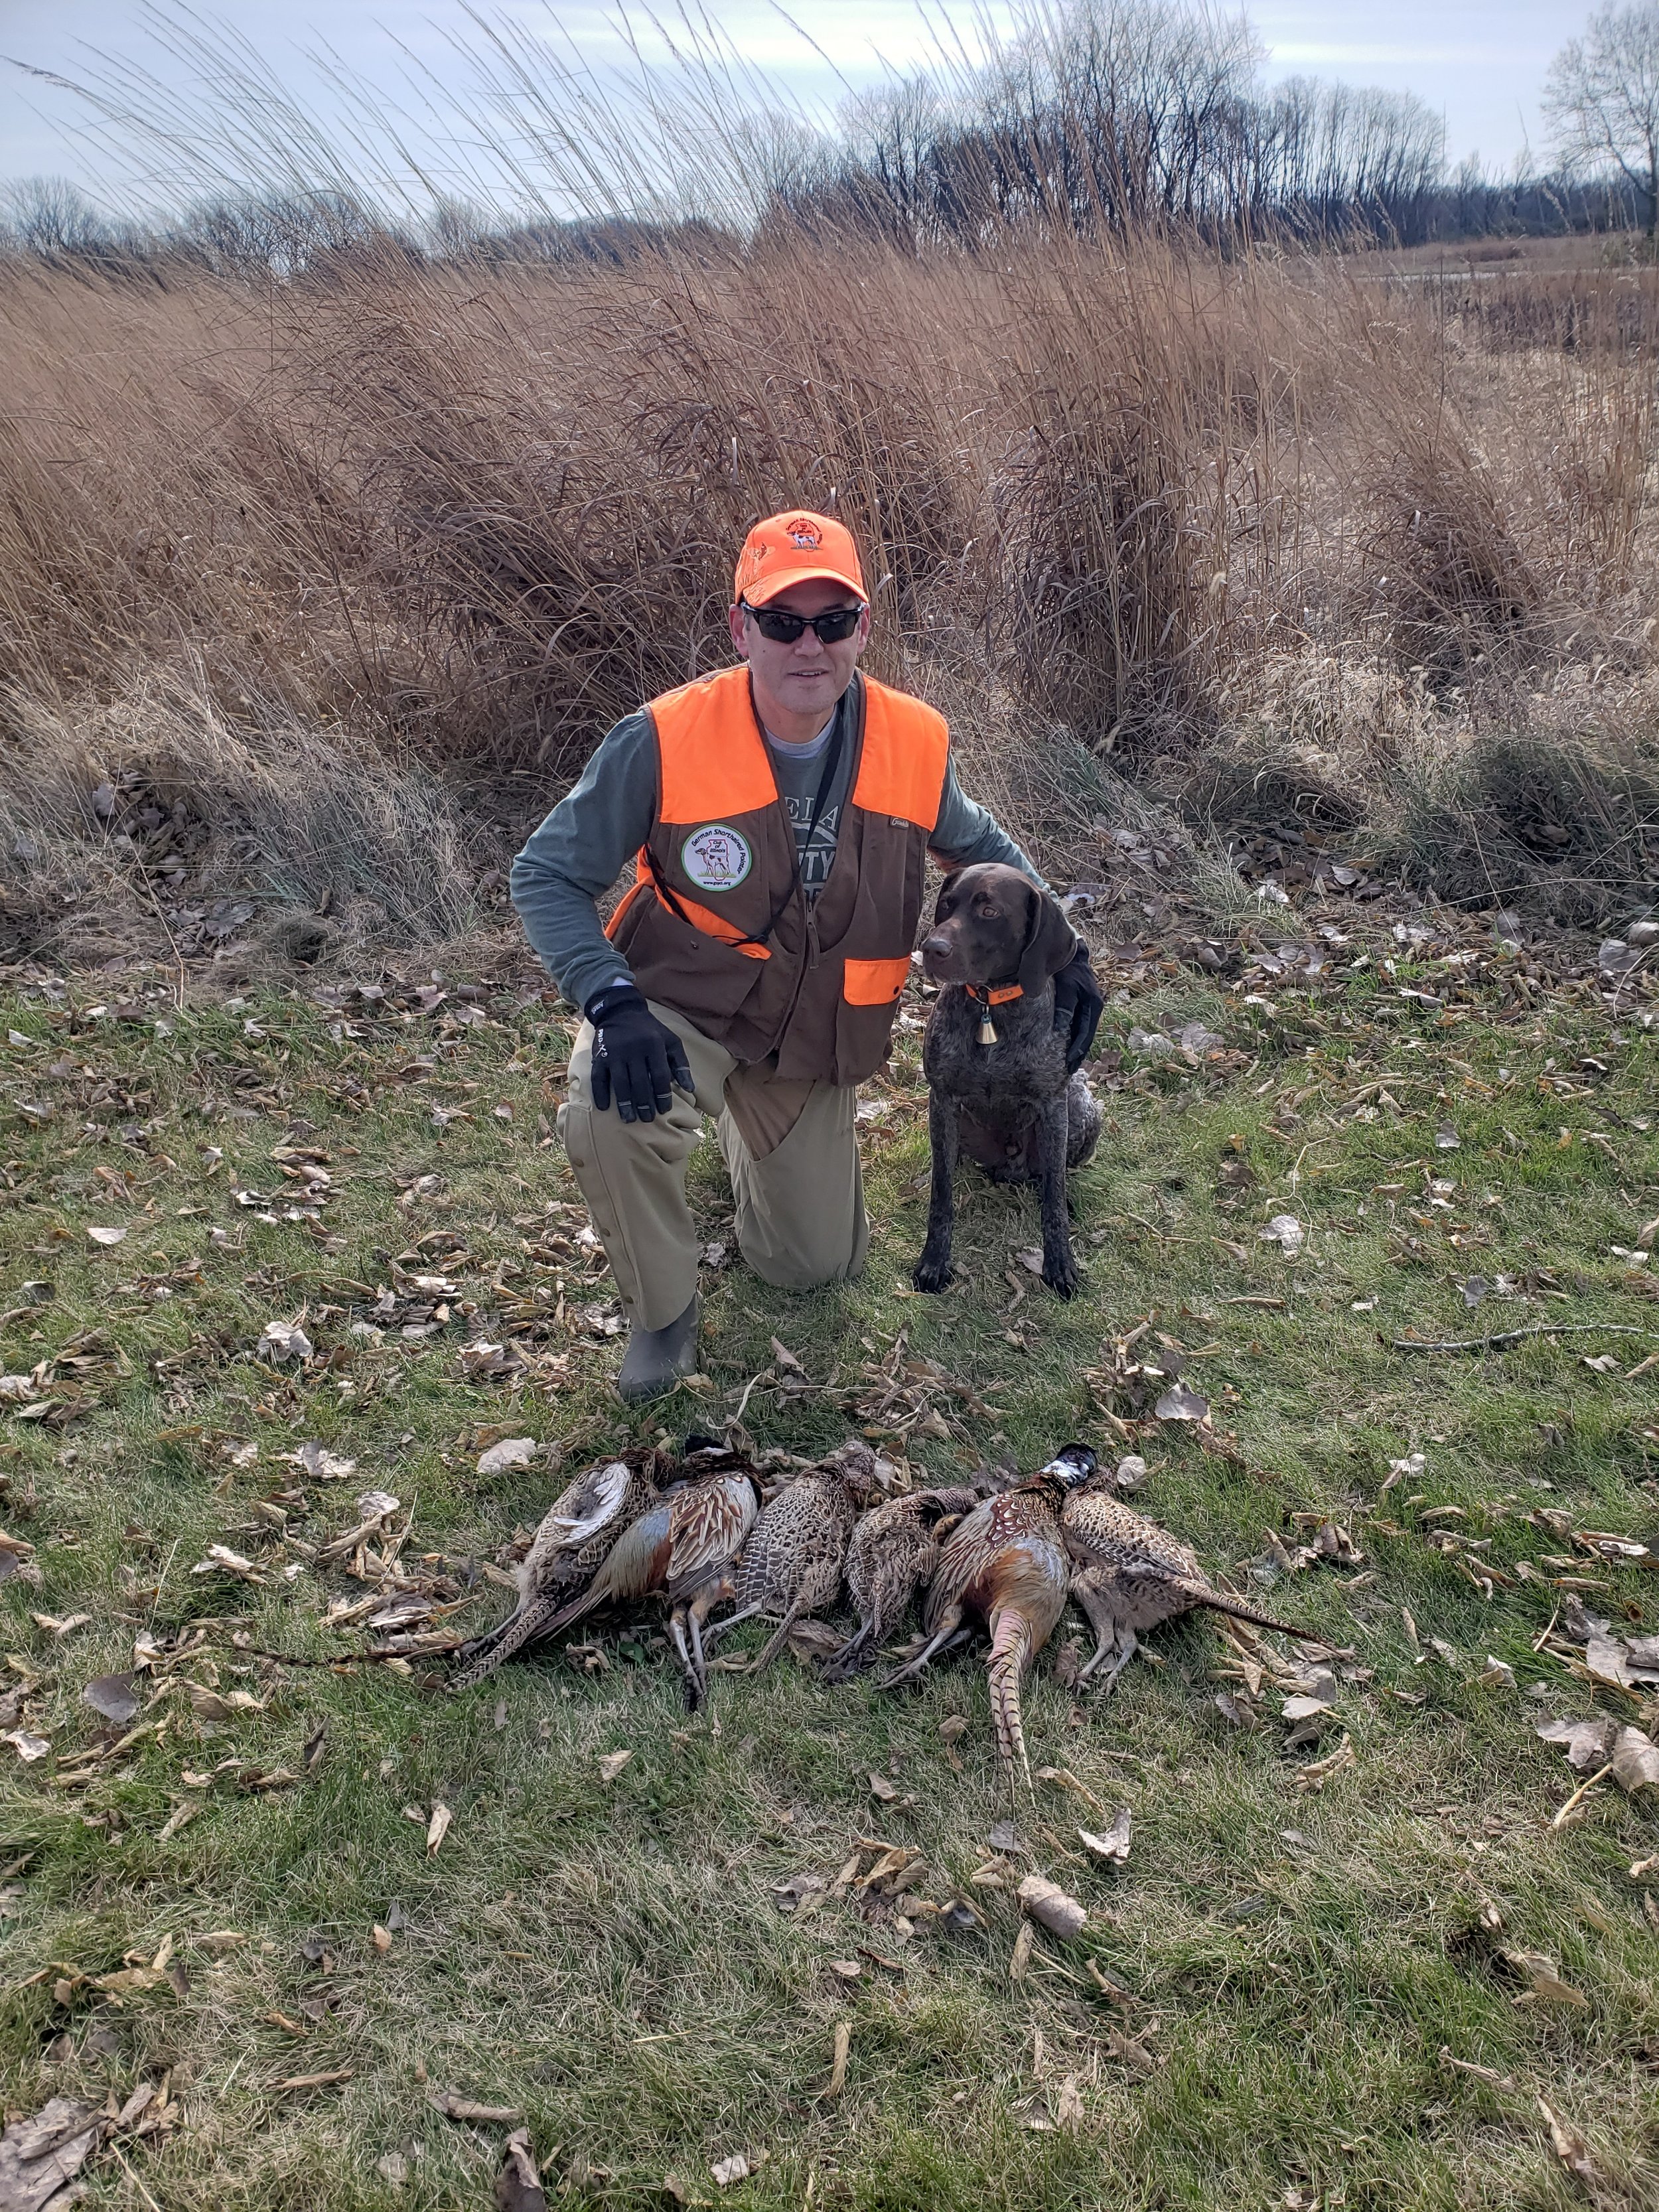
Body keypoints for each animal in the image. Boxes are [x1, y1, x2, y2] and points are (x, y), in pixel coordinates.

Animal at [911, 858, 1106, 1291]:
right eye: (947, 905)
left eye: (989, 911)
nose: (932, 949)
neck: (991, 1008)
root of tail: (1011, 1166)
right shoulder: (943, 1100)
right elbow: (941, 1194)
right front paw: (934, 1261)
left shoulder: (1053, 1104)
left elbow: (1053, 1200)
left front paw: (1060, 1263)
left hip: (1082, 1106)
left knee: (1052, 1176)